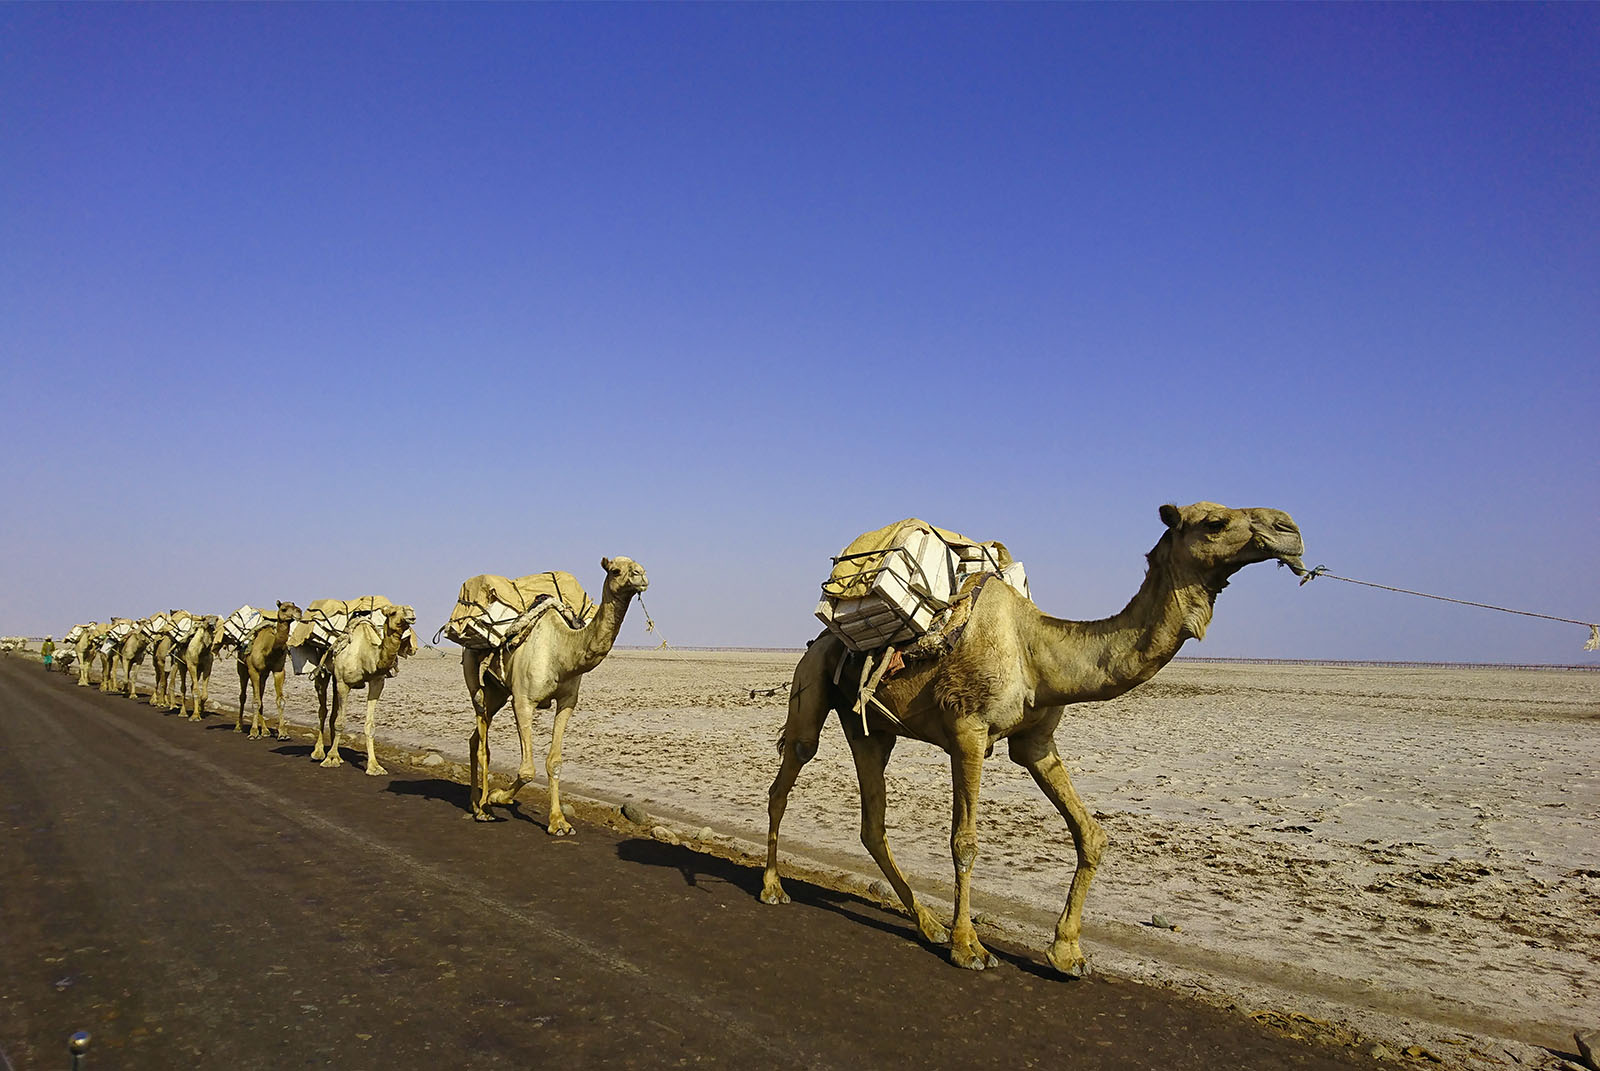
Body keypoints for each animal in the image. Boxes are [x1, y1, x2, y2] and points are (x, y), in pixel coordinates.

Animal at [233, 598, 302, 739]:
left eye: (294, 605)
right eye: (284, 609)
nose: (299, 612)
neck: (269, 650)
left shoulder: (278, 670)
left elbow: (279, 700)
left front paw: (283, 732)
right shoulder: (253, 670)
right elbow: (255, 701)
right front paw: (253, 731)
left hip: (263, 676)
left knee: (260, 696)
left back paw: (265, 731)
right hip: (242, 670)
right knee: (243, 696)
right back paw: (239, 727)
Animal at [312, 605, 419, 771]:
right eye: (393, 612)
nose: (411, 613)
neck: (366, 655)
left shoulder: (376, 682)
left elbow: (369, 725)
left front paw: (374, 766)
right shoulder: (344, 683)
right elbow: (341, 722)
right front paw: (331, 758)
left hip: (336, 679)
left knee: (334, 711)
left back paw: (337, 754)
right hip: (323, 671)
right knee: (323, 710)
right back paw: (319, 752)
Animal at [464, 557, 649, 832]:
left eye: (639, 566)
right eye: (616, 570)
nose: (641, 575)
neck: (561, 651)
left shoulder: (567, 701)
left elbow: (555, 762)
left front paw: (558, 822)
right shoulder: (523, 701)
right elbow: (527, 771)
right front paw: (498, 797)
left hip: (498, 693)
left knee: (475, 738)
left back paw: (475, 802)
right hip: (474, 679)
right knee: (482, 740)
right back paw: (484, 808)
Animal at [761, 502, 1299, 979]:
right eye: (1215, 521)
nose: (1289, 529)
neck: (1036, 651)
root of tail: (820, 639)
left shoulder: (1036, 743)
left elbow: (1091, 834)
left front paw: (1068, 953)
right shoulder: (968, 729)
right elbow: (965, 841)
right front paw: (969, 947)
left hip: (873, 731)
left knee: (872, 824)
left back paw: (927, 924)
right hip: (812, 681)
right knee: (787, 777)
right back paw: (773, 888)